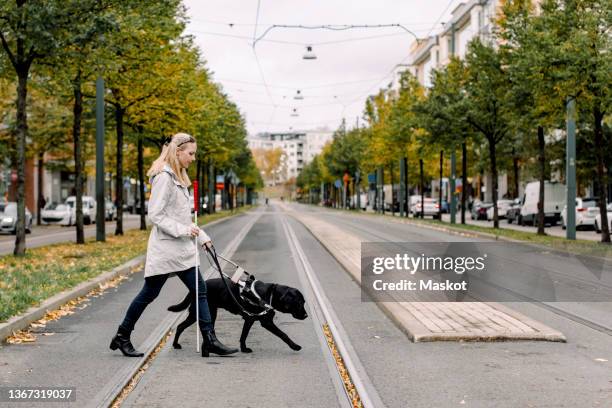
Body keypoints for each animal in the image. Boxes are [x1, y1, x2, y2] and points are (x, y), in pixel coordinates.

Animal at [167, 278, 308, 354]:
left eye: (304, 302)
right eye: (299, 303)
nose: (306, 315)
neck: (270, 295)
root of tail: (194, 289)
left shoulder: (249, 319)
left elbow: (243, 335)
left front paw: (243, 348)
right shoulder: (265, 322)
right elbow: (283, 334)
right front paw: (295, 346)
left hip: (210, 313)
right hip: (198, 313)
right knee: (180, 326)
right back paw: (176, 344)